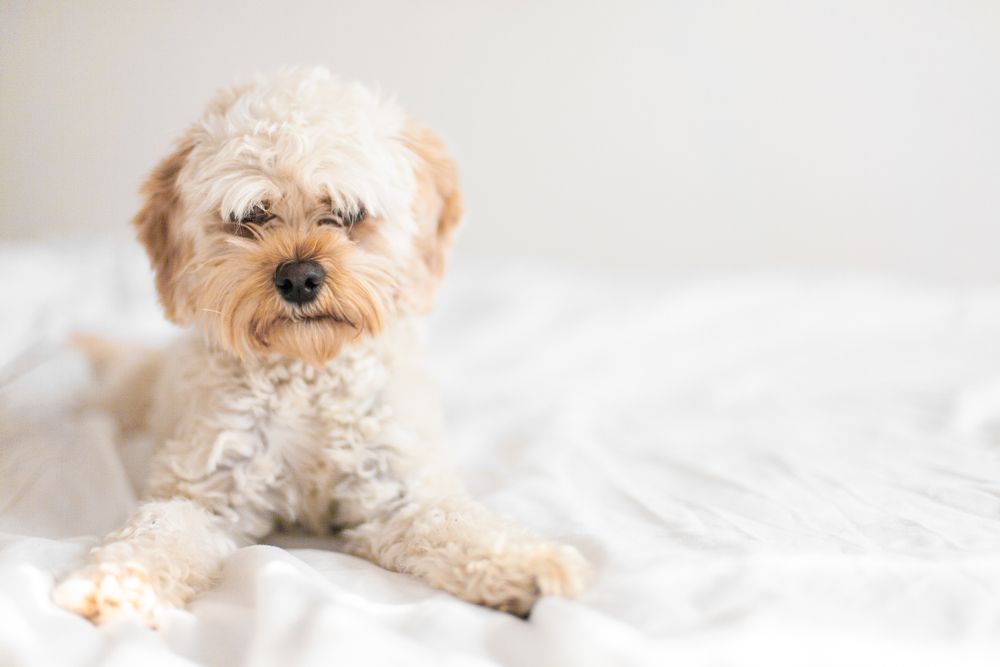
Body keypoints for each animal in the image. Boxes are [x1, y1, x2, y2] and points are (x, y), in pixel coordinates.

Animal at [52, 66, 584, 628]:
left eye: (349, 213)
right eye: (251, 215)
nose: (299, 278)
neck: (308, 372)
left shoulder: (398, 493)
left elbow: (459, 523)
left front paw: (532, 564)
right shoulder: (205, 491)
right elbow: (158, 532)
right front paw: (114, 580)